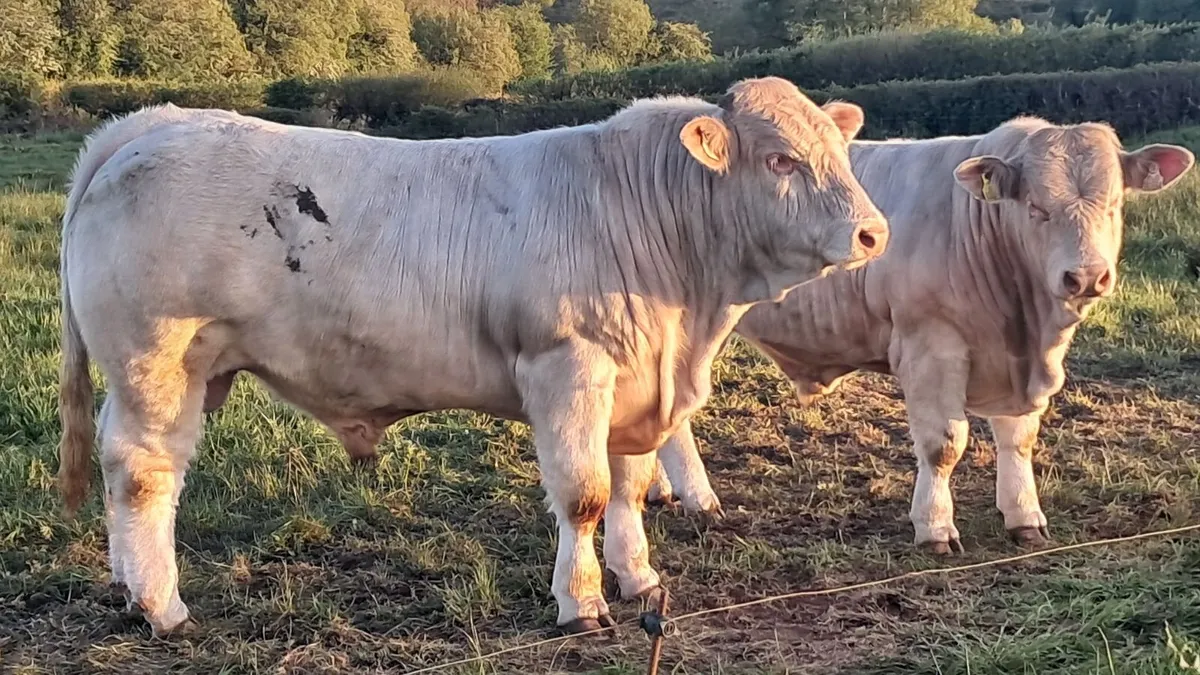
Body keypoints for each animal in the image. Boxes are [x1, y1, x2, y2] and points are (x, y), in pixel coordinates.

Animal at [55, 78, 889, 637]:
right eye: (781, 160)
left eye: (839, 150)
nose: (873, 232)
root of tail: (154, 124)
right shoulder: (568, 368)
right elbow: (585, 493)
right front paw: (581, 600)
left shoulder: (637, 385)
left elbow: (628, 486)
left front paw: (640, 576)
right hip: (157, 362)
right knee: (144, 472)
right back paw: (162, 604)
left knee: (121, 465)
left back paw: (129, 583)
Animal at [647, 116, 1194, 553]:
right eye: (1036, 208)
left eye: (1115, 204)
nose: (1085, 277)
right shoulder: (931, 346)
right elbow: (944, 444)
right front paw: (934, 527)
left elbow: (1018, 438)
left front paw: (1024, 516)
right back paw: (698, 496)